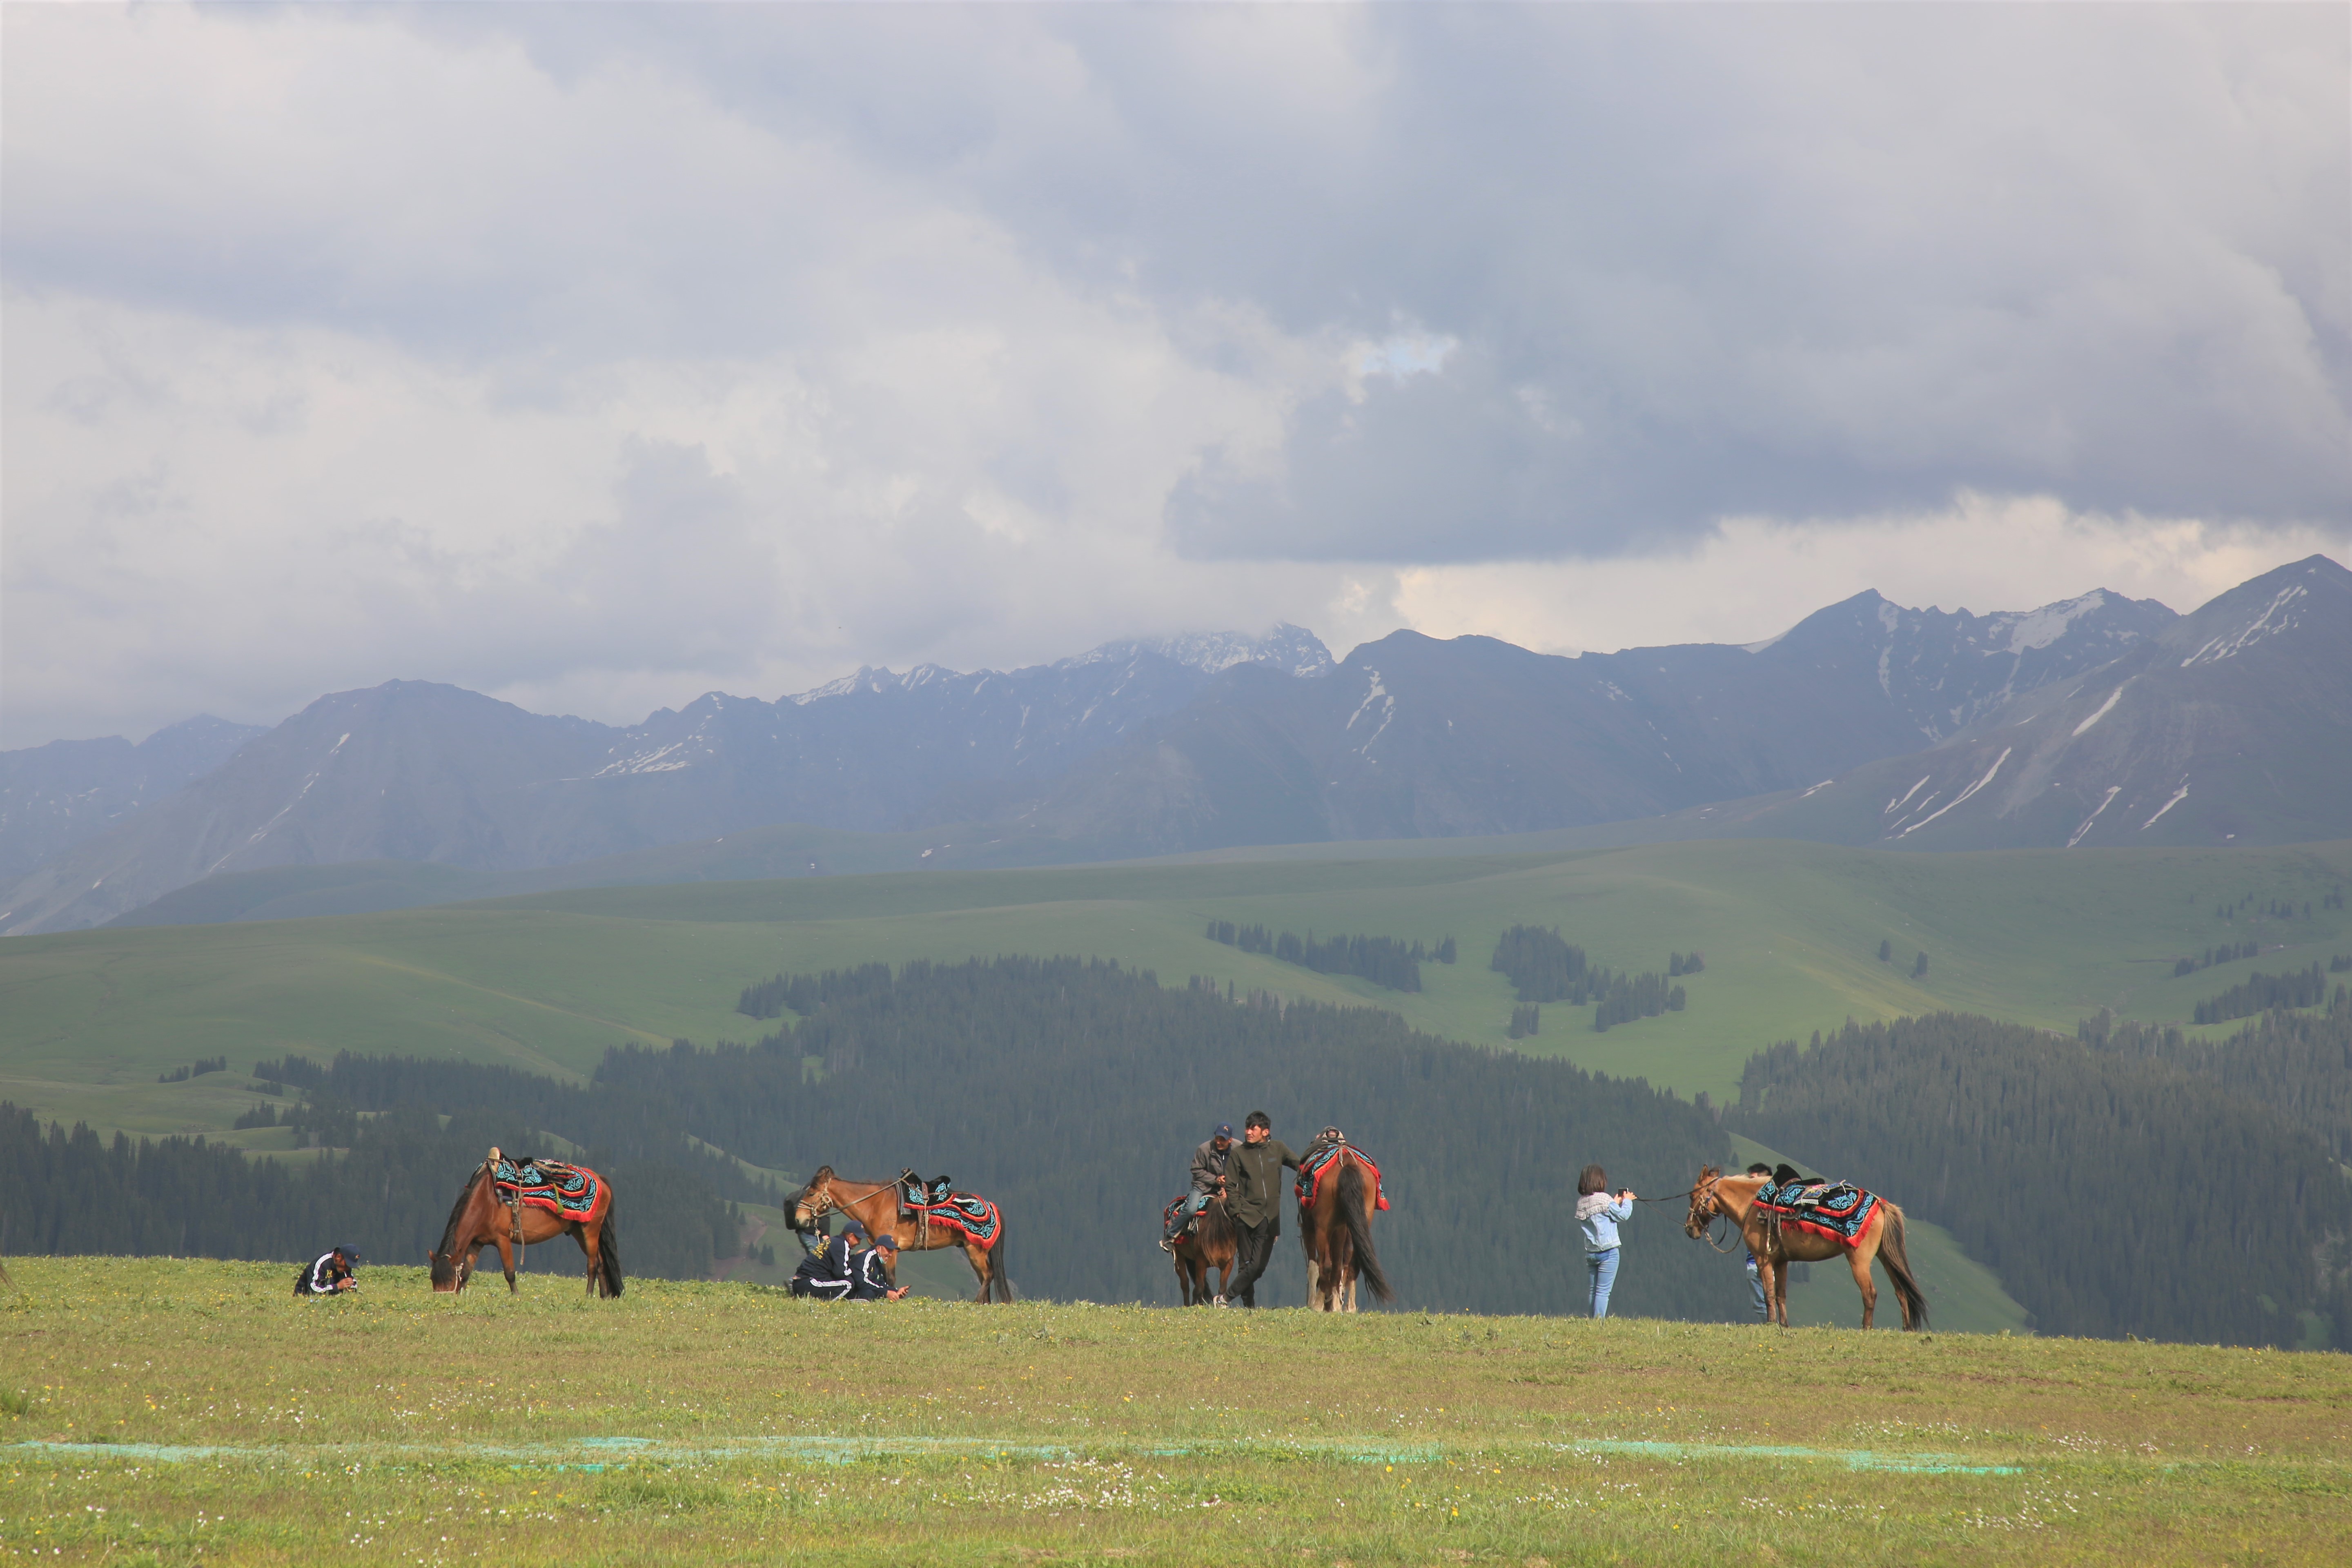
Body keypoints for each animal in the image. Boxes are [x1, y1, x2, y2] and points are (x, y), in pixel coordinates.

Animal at [428, 1150, 622, 1297]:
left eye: (449, 1280)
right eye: (433, 1279)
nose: (442, 1299)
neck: (485, 1200)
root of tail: (600, 1178)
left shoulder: (502, 1239)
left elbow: (509, 1273)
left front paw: (517, 1296)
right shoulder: (477, 1242)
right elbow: (466, 1272)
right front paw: (461, 1295)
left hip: (590, 1229)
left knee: (593, 1264)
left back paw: (589, 1294)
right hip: (578, 1231)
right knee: (601, 1262)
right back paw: (604, 1295)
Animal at [789, 1166, 1013, 1303]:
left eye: (811, 1193)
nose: (798, 1219)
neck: (874, 1204)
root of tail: (991, 1205)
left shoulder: (893, 1249)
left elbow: (890, 1277)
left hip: (975, 1250)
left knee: (988, 1275)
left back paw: (976, 1302)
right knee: (986, 1276)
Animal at [1171, 1195, 1236, 1306]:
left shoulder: (1228, 1263)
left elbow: (1222, 1289)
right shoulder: (1201, 1261)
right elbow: (1198, 1289)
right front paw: (1193, 1306)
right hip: (1179, 1255)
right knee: (1185, 1284)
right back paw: (1187, 1305)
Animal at [1298, 1147, 1392, 1313]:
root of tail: (1348, 1164)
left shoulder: (1309, 1226)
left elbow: (1314, 1266)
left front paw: (1314, 1302)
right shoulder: (1342, 1230)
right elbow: (1341, 1265)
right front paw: (1335, 1301)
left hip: (1323, 1227)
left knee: (1326, 1266)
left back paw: (1319, 1304)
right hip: (1361, 1219)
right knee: (1352, 1264)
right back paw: (1348, 1307)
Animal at [1684, 1167, 1928, 1330]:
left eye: (1693, 1195)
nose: (1689, 1229)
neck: (1753, 1205)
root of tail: (1880, 1203)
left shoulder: (1763, 1259)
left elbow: (1769, 1293)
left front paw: (1771, 1324)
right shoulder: (1781, 1261)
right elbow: (1781, 1294)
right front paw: (1784, 1324)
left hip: (1859, 1261)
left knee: (1870, 1293)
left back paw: (1865, 1328)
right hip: (1886, 1257)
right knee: (1901, 1291)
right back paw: (1906, 1328)